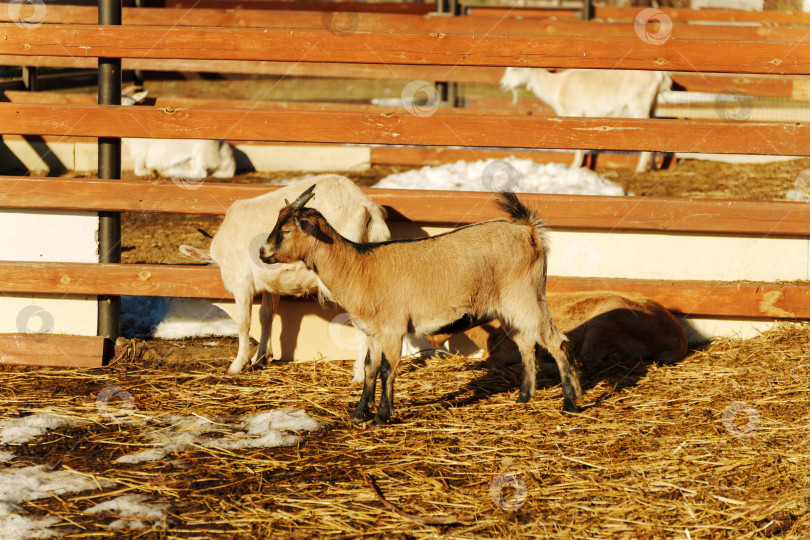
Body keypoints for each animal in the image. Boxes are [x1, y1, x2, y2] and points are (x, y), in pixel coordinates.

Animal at [210, 175, 390, 375]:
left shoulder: (241, 281)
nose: (262, 252)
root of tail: (367, 207)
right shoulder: (270, 286)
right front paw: (261, 358)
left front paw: (237, 365)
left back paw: (359, 374)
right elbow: (265, 315)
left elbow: (243, 323)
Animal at [259, 186, 581, 426]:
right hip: (509, 309)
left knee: (557, 341)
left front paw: (381, 417)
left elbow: (387, 369)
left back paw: (570, 403)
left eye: (285, 231)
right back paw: (524, 397)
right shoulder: (373, 332)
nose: (262, 252)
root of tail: (529, 230)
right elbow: (370, 368)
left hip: (526, 298)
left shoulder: (392, 329)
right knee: (527, 345)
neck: (359, 266)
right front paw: (359, 414)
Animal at [500, 68, 672, 173]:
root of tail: (660, 76)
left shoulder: (575, 112)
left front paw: (575, 166)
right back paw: (653, 166)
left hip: (639, 105)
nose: (503, 85)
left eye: (515, 69)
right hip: (653, 106)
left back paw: (640, 168)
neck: (556, 87)